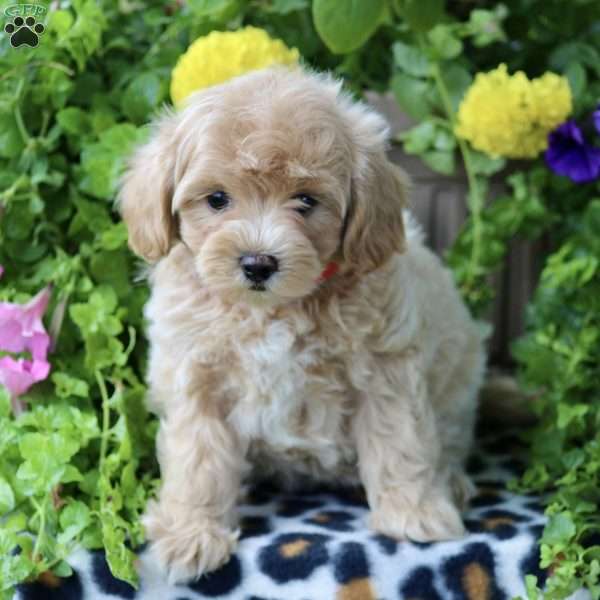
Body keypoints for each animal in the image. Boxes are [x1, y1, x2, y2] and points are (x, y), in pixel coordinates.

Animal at [118, 68, 488, 584]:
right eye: (217, 199)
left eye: (306, 201)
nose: (257, 263)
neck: (272, 310)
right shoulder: (196, 376)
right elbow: (197, 460)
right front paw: (191, 535)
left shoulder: (386, 370)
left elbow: (401, 440)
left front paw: (414, 514)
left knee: (449, 438)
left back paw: (450, 481)